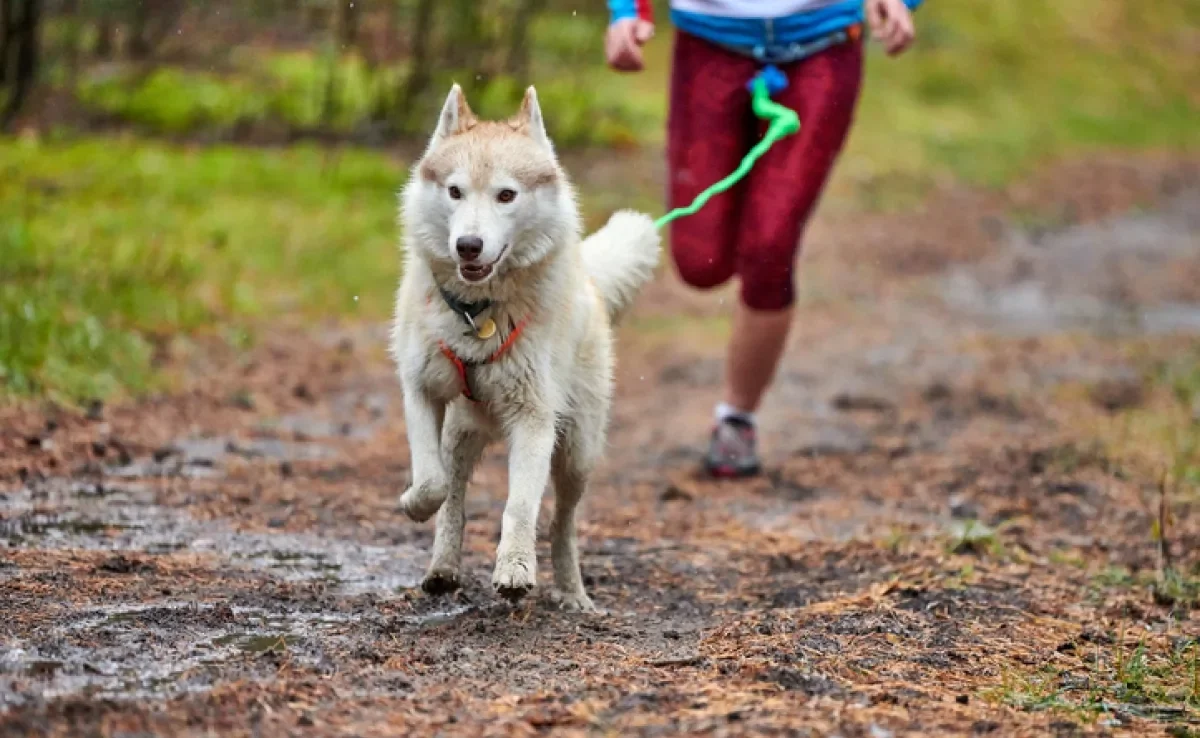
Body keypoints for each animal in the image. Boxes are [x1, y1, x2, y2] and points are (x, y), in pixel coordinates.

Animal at [388, 84, 662, 609]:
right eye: (455, 191)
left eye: (506, 194)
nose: (468, 245)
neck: (478, 314)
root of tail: (590, 279)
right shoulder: (420, 390)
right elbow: (432, 483)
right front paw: (413, 502)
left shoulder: (535, 418)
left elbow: (520, 506)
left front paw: (515, 570)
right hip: (461, 434)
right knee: (455, 497)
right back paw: (442, 569)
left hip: (576, 451)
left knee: (561, 523)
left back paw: (572, 593)